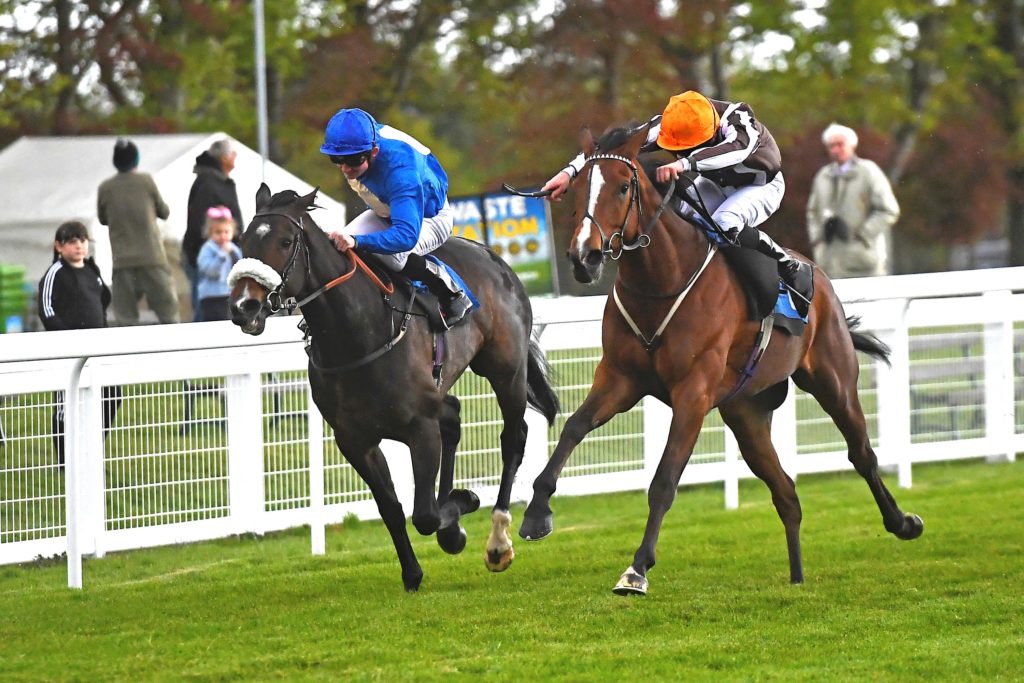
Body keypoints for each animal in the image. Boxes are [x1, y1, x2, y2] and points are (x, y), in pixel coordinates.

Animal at [230, 185, 561, 593]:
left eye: (285, 241)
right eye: (244, 241)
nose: (244, 306)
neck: (357, 336)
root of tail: (494, 258)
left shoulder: (420, 428)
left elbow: (425, 515)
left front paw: (460, 510)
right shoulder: (354, 440)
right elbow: (391, 508)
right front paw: (413, 571)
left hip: (506, 369)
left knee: (513, 438)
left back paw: (498, 542)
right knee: (453, 416)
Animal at [520, 125, 921, 593]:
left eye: (622, 187)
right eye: (577, 188)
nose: (585, 257)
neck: (661, 281)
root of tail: (819, 274)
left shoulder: (693, 392)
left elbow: (664, 480)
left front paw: (637, 569)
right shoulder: (619, 378)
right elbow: (573, 428)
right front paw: (536, 514)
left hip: (833, 380)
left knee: (861, 454)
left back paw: (902, 522)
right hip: (747, 413)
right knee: (786, 492)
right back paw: (797, 576)